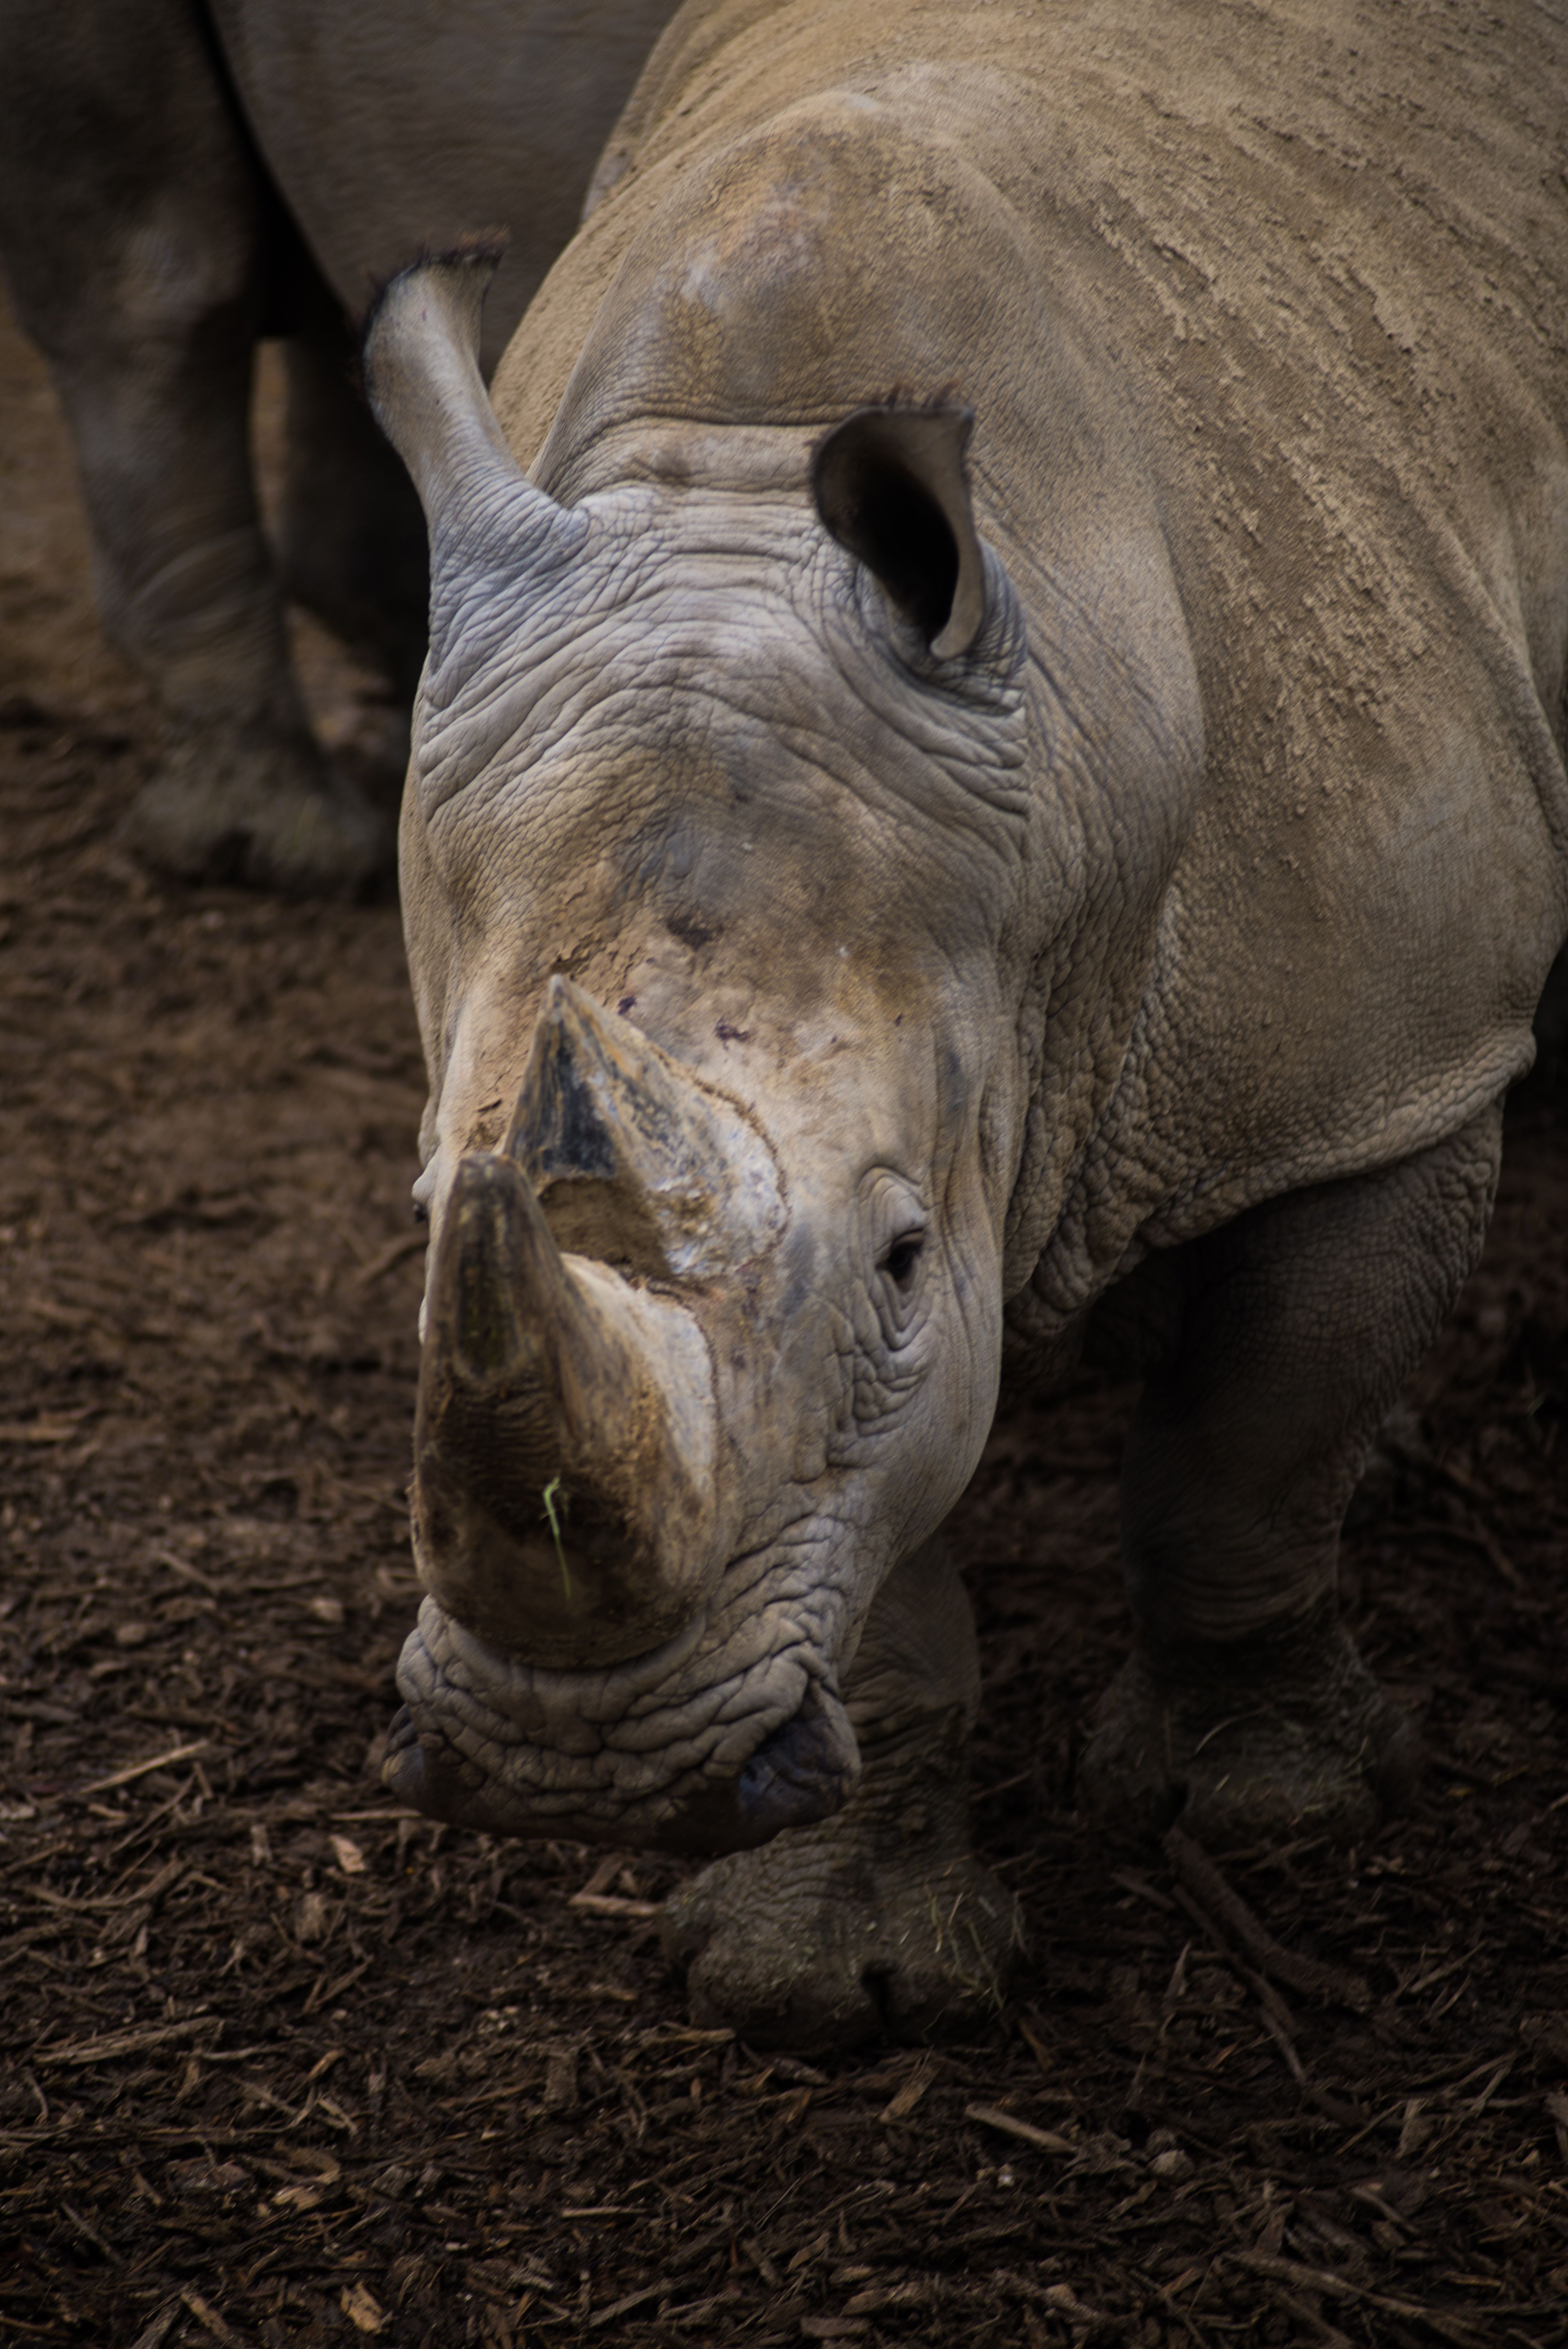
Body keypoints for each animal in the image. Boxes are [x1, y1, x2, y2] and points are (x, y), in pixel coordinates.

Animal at [366, 0, 1568, 2050]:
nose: (574, 1773)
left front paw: (1269, 1800)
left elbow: (1254, 1433)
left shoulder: (1384, 1066)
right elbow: (877, 1525)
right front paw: (829, 1972)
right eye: (436, 1228)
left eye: (903, 1259)